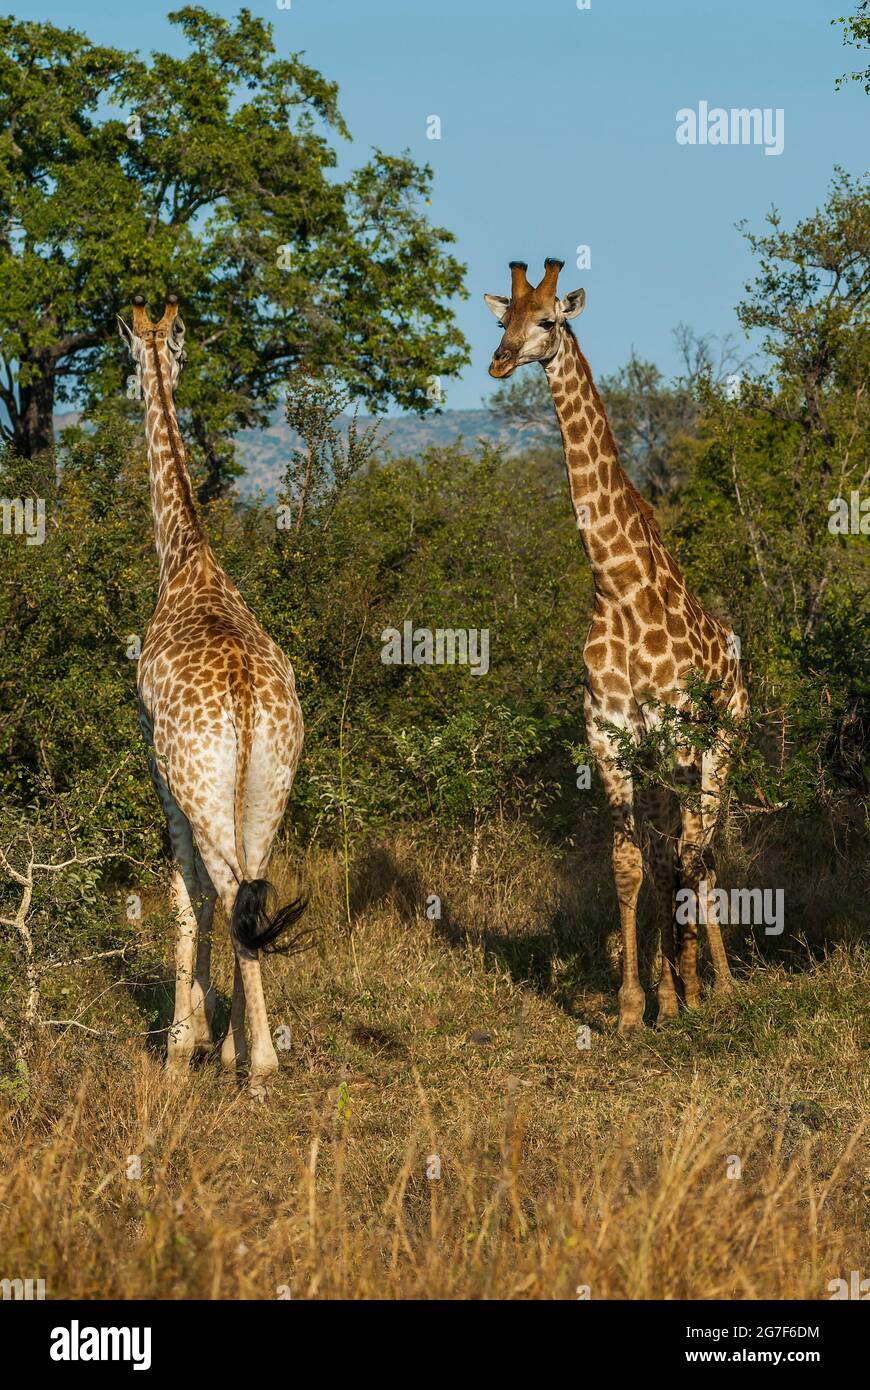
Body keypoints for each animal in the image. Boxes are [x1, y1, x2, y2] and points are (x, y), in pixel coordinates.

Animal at [485, 259, 748, 1031]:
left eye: (548, 321)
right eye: (501, 319)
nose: (500, 361)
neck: (617, 582)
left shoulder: (677, 737)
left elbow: (681, 860)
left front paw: (686, 990)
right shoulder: (610, 738)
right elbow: (630, 865)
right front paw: (637, 1006)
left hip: (721, 745)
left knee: (705, 852)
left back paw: (720, 985)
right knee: (673, 855)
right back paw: (676, 986)